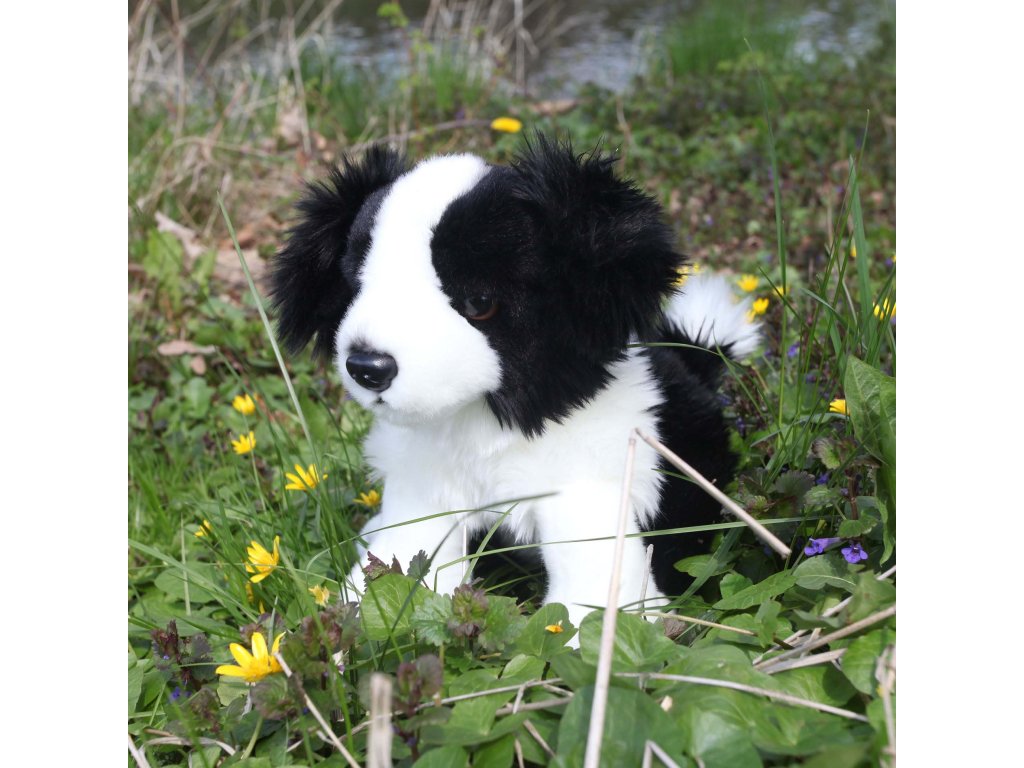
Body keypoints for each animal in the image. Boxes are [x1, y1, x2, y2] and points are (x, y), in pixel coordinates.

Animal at [271, 136, 759, 627]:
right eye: (356, 287)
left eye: (480, 302)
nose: (367, 367)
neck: (488, 427)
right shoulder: (425, 496)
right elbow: (400, 568)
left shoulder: (587, 496)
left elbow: (592, 599)